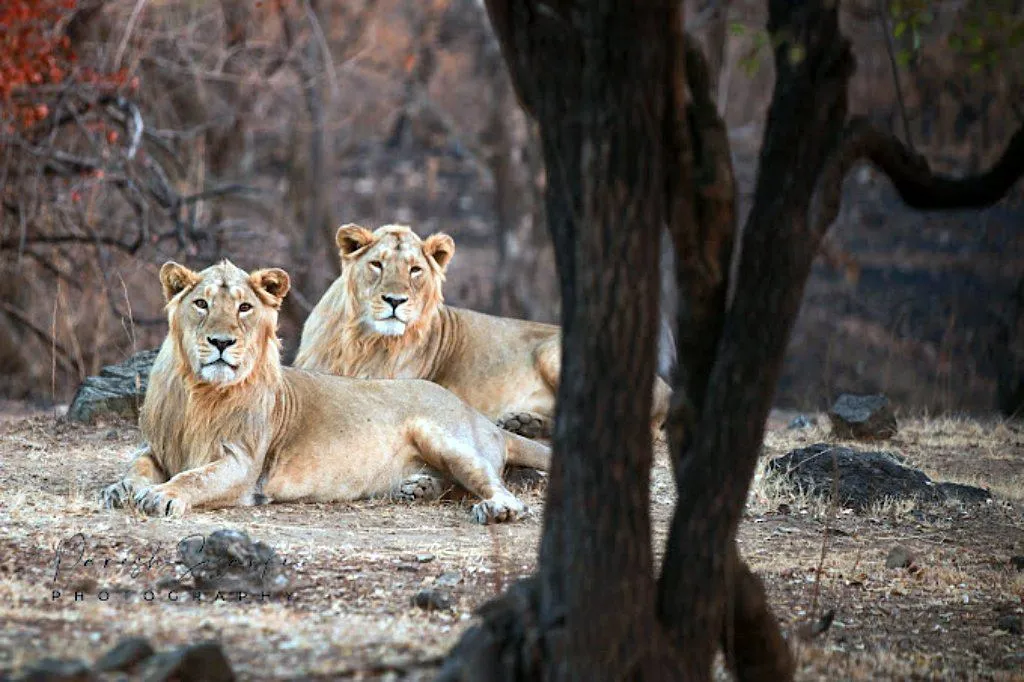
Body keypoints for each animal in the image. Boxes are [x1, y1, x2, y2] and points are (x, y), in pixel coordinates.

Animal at [100, 260, 549, 524]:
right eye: (201, 304)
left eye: (245, 307)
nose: (222, 342)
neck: (200, 392)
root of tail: (479, 417)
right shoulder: (156, 448)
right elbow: (136, 468)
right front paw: (120, 489)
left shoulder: (243, 464)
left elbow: (195, 478)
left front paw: (163, 496)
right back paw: (418, 487)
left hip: (443, 436)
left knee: (497, 484)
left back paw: (497, 509)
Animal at [294, 224, 672, 440]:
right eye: (377, 264)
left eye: (415, 270)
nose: (395, 300)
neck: (360, 340)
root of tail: (666, 386)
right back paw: (523, 423)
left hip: (554, 353)